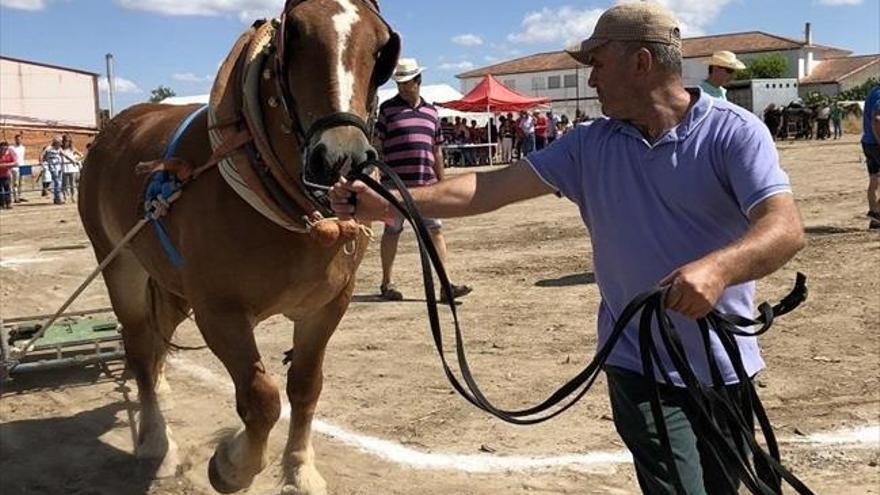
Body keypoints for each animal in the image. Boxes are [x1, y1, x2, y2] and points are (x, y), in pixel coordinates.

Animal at [77, 1, 400, 494]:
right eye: (295, 35)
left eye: (381, 46)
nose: (340, 157)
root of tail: (117, 126)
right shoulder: (219, 313)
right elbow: (260, 397)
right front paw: (231, 465)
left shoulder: (327, 307)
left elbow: (305, 385)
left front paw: (300, 470)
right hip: (122, 267)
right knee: (139, 347)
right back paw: (156, 440)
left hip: (171, 287)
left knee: (157, 340)